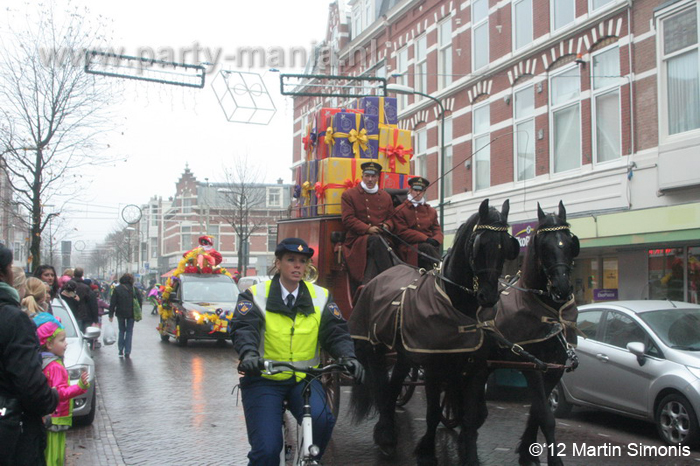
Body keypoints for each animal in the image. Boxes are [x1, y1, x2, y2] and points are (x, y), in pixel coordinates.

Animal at [348, 199, 520, 466]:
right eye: (479, 244)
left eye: (506, 248)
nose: (489, 297)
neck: (456, 305)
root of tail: (380, 275)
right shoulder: (433, 368)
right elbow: (432, 413)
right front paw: (427, 452)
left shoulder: (475, 368)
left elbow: (469, 416)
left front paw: (470, 455)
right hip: (373, 348)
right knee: (380, 387)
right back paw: (385, 433)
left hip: (404, 354)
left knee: (394, 386)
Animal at [490, 201, 584, 466]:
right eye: (544, 245)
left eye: (570, 242)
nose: (562, 288)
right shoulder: (530, 365)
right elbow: (545, 415)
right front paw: (554, 460)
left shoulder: (553, 366)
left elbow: (536, 411)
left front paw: (527, 452)